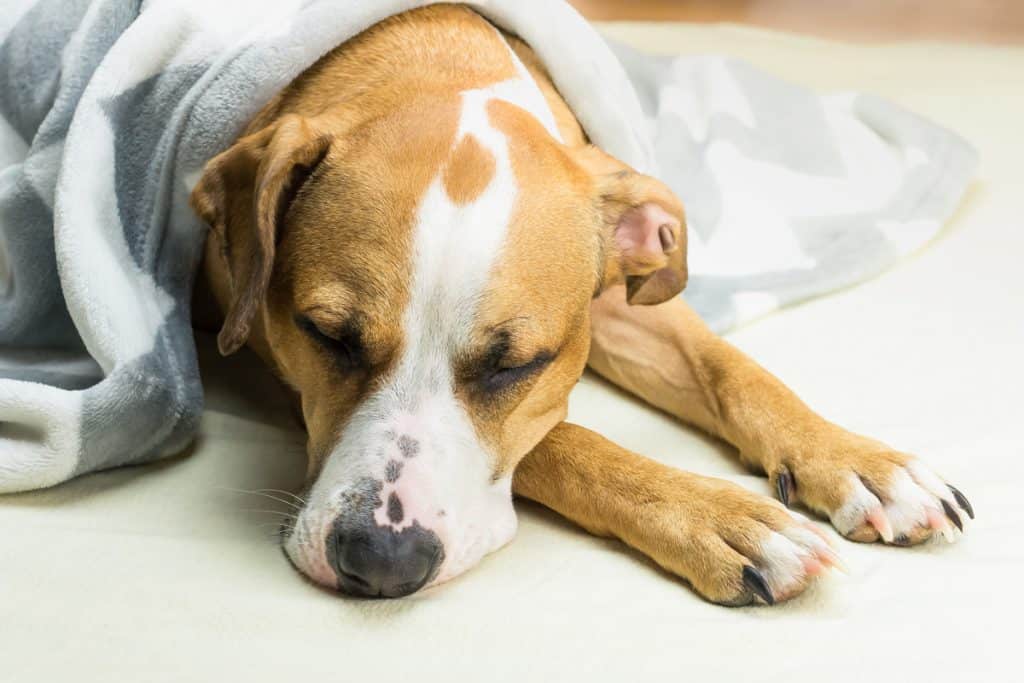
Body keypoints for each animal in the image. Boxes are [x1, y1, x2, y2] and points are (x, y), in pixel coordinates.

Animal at [190, 3, 966, 602]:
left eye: (515, 365)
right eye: (325, 335)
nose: (382, 562)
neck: (435, 58)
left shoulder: (618, 302)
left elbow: (728, 366)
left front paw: (856, 460)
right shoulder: (259, 345)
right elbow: (561, 440)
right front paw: (724, 518)